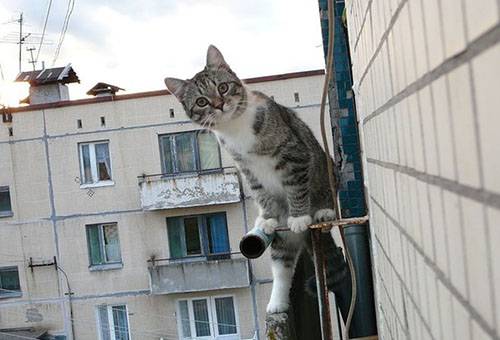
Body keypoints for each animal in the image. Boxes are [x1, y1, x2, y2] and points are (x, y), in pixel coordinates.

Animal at [166, 45, 338, 314]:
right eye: (202, 101)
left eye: (222, 87)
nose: (220, 104)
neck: (236, 127)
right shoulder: (247, 170)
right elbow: (262, 194)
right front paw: (267, 218)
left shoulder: (294, 154)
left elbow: (296, 187)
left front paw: (299, 216)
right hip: (281, 240)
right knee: (281, 264)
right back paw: (277, 302)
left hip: (326, 172)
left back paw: (321, 212)